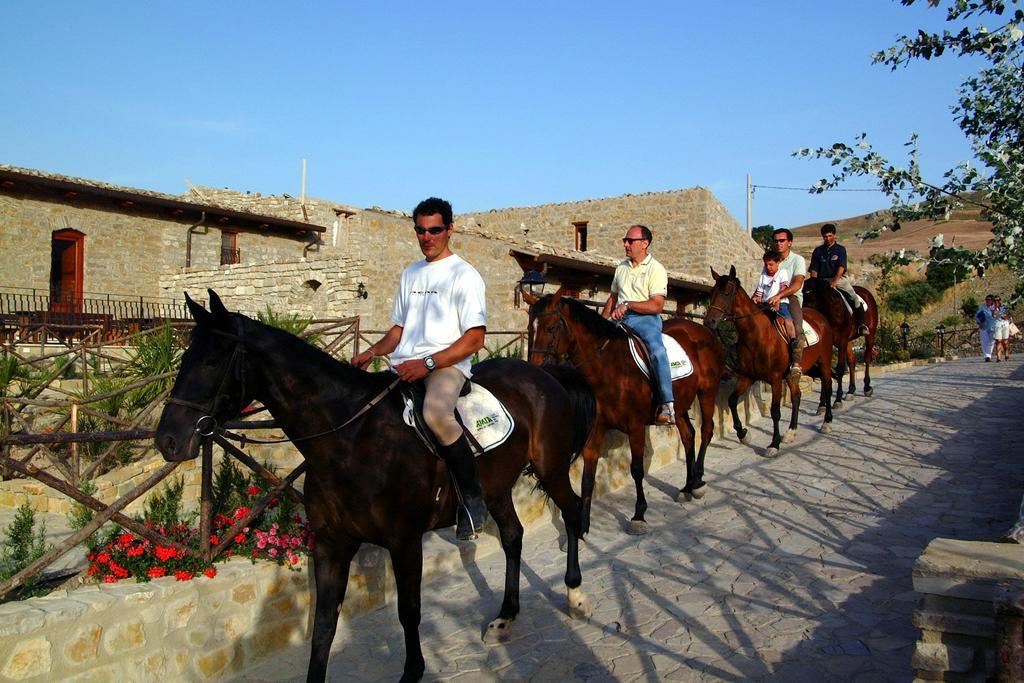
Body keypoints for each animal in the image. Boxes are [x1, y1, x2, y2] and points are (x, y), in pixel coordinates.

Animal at [154, 290, 598, 679]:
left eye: (213, 361)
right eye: (184, 358)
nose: (168, 441)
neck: (350, 437)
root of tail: (543, 373)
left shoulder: (404, 541)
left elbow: (409, 611)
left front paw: (413, 671)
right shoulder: (331, 544)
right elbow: (323, 625)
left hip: (551, 468)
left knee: (570, 511)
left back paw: (576, 595)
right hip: (495, 486)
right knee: (512, 536)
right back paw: (505, 618)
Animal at [528, 290, 729, 536]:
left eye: (551, 328)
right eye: (531, 328)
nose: (536, 367)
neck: (609, 367)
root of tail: (705, 332)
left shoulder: (635, 426)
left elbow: (636, 470)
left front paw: (638, 515)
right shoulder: (596, 429)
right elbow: (588, 476)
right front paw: (583, 524)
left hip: (707, 392)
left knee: (706, 430)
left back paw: (698, 482)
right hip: (679, 405)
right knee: (689, 435)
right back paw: (687, 486)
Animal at [708, 268, 835, 458]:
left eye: (726, 293)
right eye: (712, 292)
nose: (709, 321)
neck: (757, 335)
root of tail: (821, 318)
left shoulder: (775, 380)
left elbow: (775, 411)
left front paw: (774, 444)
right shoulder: (747, 377)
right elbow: (732, 400)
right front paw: (743, 434)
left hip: (825, 363)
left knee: (827, 388)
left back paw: (826, 422)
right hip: (792, 374)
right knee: (796, 396)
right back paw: (791, 432)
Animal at [798, 276, 880, 409]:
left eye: (810, 297)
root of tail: (865, 292)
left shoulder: (841, 340)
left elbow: (840, 368)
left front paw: (837, 400)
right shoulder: (831, 343)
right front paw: (822, 404)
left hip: (870, 334)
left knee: (867, 357)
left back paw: (867, 387)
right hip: (848, 341)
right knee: (852, 361)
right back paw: (851, 390)